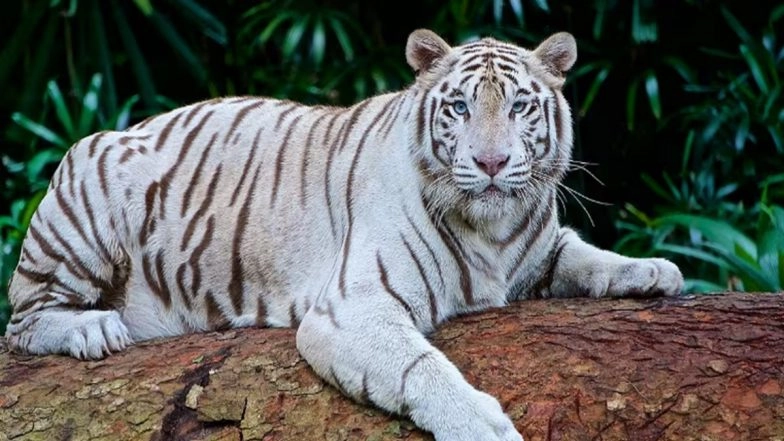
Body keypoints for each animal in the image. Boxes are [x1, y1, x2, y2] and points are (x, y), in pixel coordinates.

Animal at [5, 29, 683, 440]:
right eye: (460, 107)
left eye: (519, 106)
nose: (491, 163)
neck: (494, 230)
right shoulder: (354, 308)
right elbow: (422, 368)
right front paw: (483, 425)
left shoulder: (538, 249)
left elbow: (585, 254)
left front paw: (653, 270)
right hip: (86, 195)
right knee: (22, 322)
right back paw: (92, 329)